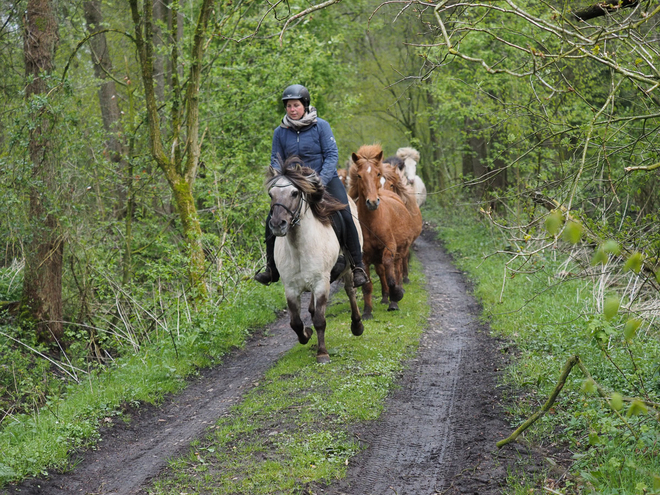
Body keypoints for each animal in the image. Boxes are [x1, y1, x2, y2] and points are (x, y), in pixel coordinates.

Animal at [266, 159, 364, 364]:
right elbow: (295, 322)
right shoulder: (290, 288)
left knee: (350, 291)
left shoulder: (321, 283)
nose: (278, 224)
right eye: (271, 194)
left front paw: (322, 353)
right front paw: (306, 334)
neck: (299, 248)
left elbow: (320, 320)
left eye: (294, 193)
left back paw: (357, 326)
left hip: (348, 268)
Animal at [348, 145, 416, 320]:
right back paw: (385, 298)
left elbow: (391, 274)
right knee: (381, 272)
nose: (372, 202)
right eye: (359, 175)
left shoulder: (390, 247)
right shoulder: (364, 257)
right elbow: (367, 285)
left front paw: (396, 296)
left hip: (400, 250)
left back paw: (394, 297)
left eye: (377, 174)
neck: (372, 223)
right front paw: (367, 312)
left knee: (396, 269)